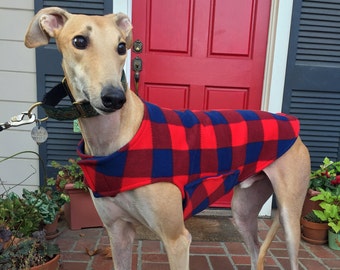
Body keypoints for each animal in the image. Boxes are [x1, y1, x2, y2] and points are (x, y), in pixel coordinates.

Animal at [24, 6, 310, 270]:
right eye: (79, 41)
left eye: (121, 46)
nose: (114, 98)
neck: (117, 138)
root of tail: (290, 122)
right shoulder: (118, 233)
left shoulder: (177, 239)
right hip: (242, 211)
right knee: (255, 251)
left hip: (289, 217)